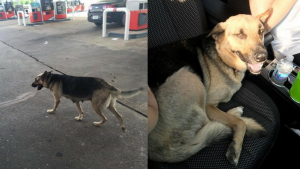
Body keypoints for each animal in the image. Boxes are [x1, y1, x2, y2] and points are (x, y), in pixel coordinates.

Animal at [149, 8, 274, 166]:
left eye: (260, 32)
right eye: (240, 35)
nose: (263, 57)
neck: (222, 56)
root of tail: (159, 153)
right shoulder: (209, 105)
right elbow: (239, 123)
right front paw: (235, 147)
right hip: (189, 76)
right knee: (211, 123)